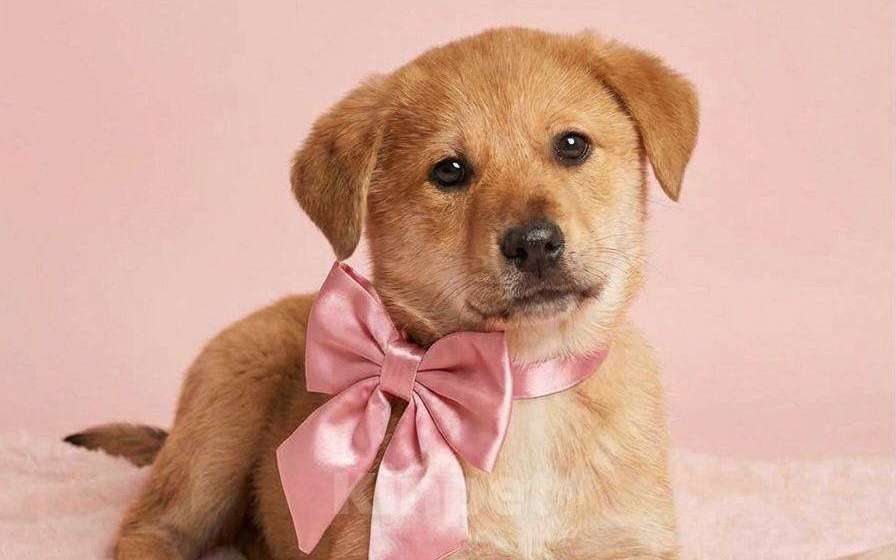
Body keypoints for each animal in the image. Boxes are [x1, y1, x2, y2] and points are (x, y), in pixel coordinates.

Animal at [67, 27, 698, 559]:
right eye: (449, 171)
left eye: (572, 145)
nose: (535, 243)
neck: (522, 389)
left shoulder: (629, 541)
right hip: (221, 418)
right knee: (150, 527)